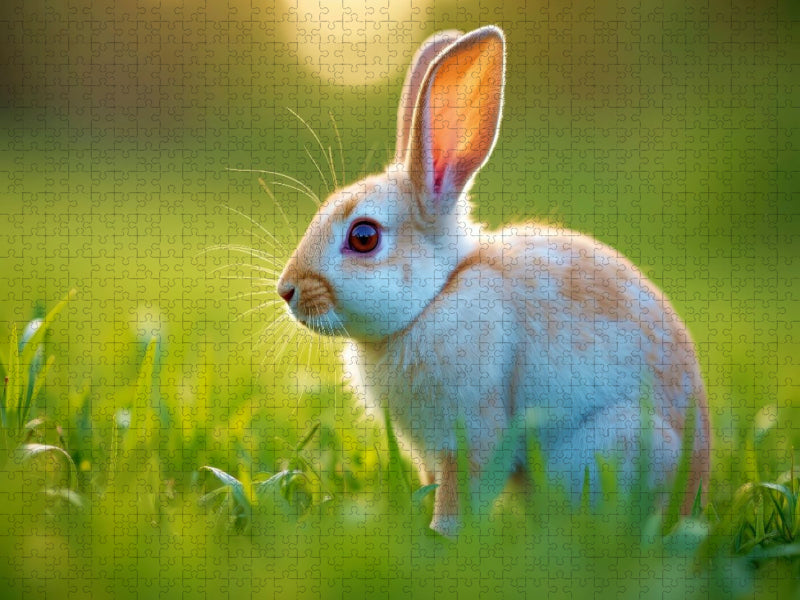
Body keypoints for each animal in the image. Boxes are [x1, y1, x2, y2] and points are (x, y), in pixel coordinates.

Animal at [276, 25, 710, 536]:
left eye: (364, 237)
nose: (287, 291)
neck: (439, 294)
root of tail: (694, 492)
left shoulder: (474, 431)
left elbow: (459, 493)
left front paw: (440, 536)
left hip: (614, 443)